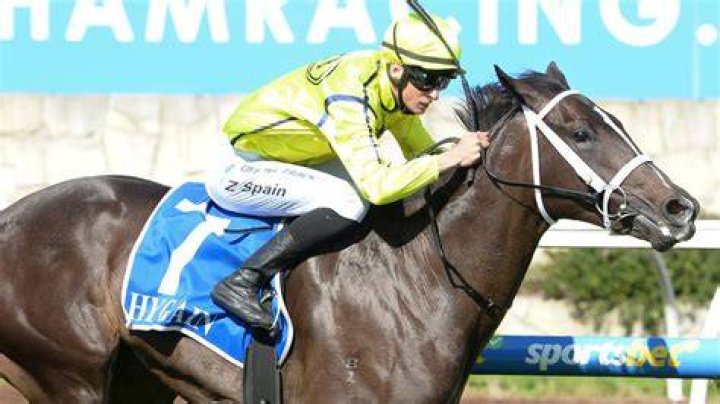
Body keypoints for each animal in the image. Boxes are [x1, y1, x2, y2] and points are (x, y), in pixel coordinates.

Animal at [0, 63, 698, 403]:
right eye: (581, 131)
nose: (681, 207)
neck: (419, 283)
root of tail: (15, 216)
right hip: (68, 373)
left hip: (139, 381)